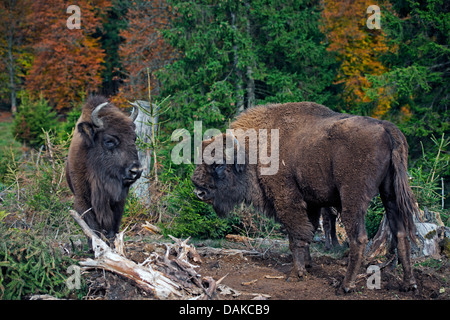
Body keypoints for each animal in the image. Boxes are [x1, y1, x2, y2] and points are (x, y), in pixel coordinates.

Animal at [65, 96, 142, 244]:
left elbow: (113, 227)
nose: (136, 170)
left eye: (134, 138)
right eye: (109, 141)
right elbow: (93, 228)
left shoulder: (118, 201)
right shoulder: (82, 200)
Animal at [191, 102, 418, 292]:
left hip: (353, 198)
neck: (252, 149)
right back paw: (409, 285)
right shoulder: (311, 202)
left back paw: (345, 286)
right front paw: (308, 266)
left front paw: (296, 274)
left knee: (359, 238)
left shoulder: (287, 200)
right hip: (390, 193)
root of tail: (386, 128)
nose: (198, 191)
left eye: (219, 164)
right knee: (400, 233)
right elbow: (309, 231)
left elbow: (296, 236)